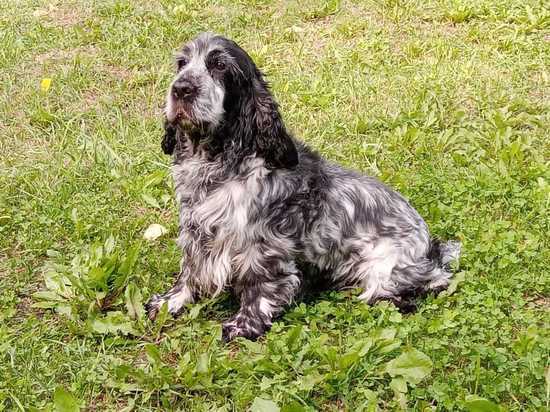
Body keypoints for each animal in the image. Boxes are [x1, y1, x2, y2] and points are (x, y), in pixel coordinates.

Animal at [146, 33, 462, 342]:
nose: (181, 88)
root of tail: (429, 246)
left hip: (384, 267)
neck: (216, 162)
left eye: (220, 66)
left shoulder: (264, 244)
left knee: (422, 286)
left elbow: (260, 285)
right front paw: (169, 301)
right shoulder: (195, 231)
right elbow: (189, 271)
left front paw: (244, 324)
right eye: (182, 63)